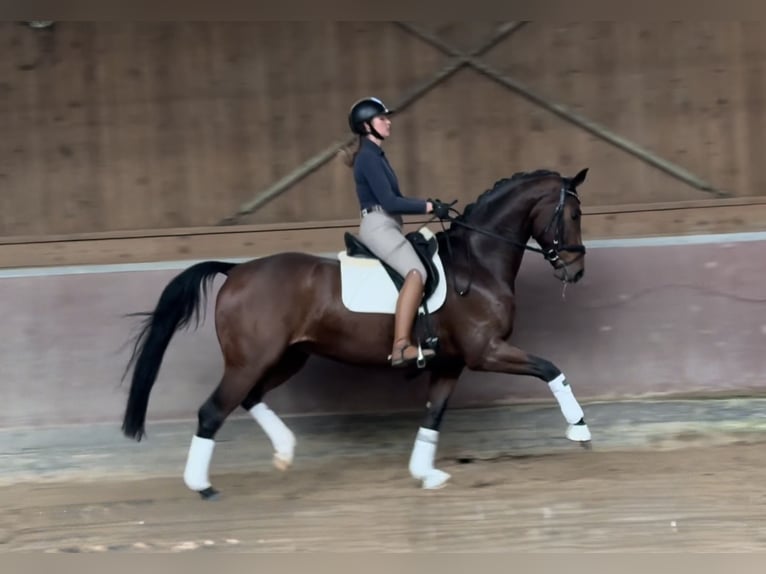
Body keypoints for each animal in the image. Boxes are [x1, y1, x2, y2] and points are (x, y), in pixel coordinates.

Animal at [121, 167, 591, 499]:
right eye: (573, 214)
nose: (576, 270)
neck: (476, 263)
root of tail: (236, 271)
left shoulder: (452, 362)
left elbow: (433, 415)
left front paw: (425, 473)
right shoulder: (486, 351)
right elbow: (551, 369)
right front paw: (580, 431)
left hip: (287, 357)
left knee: (250, 398)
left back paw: (284, 451)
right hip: (250, 360)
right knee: (212, 412)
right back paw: (203, 487)